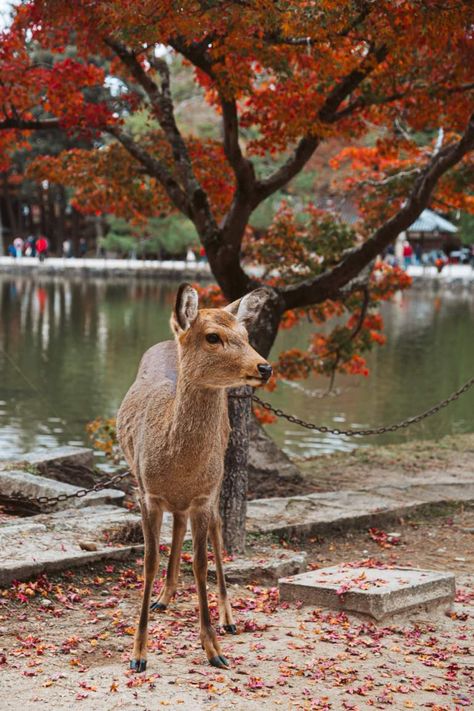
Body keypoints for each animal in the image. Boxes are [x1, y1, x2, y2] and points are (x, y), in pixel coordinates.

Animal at [116, 282, 272, 672]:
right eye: (212, 336)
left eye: (247, 335)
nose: (265, 366)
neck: (178, 465)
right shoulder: (147, 493)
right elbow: (149, 562)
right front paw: (138, 654)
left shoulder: (203, 495)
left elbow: (201, 564)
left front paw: (214, 649)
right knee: (179, 523)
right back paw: (164, 597)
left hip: (218, 477)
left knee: (215, 529)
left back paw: (228, 619)